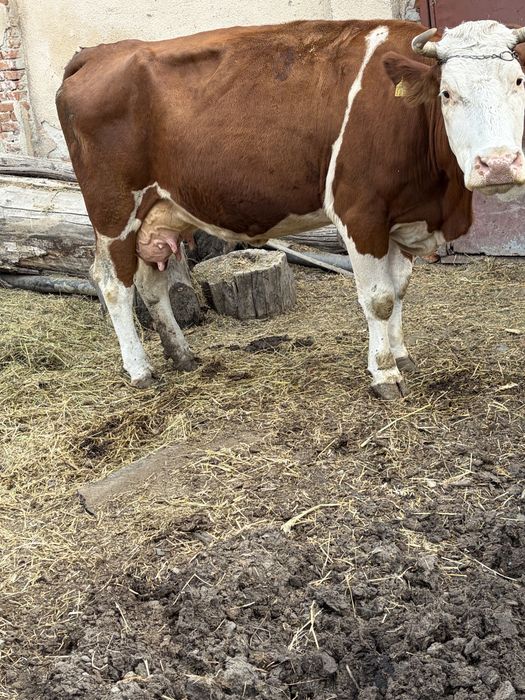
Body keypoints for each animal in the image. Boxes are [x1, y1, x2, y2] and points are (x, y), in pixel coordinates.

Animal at [56, 19, 525, 399]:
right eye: (447, 92)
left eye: (519, 82)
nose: (499, 163)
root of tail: (98, 52)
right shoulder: (361, 213)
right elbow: (379, 298)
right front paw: (385, 374)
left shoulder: (402, 216)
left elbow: (400, 288)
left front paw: (401, 355)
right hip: (114, 211)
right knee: (113, 284)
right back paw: (140, 370)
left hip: (161, 212)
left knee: (151, 284)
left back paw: (182, 355)